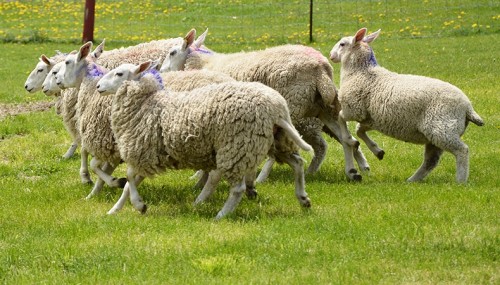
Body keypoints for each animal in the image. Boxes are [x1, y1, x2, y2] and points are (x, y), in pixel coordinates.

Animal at [96, 61, 312, 219]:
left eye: (119, 74)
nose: (98, 86)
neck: (145, 103)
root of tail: (277, 109)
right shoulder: (148, 156)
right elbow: (128, 184)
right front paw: (115, 210)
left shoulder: (143, 151)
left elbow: (129, 177)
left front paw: (139, 205)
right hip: (275, 140)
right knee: (298, 163)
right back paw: (303, 198)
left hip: (237, 145)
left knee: (237, 188)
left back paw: (221, 215)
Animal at [160, 28, 372, 181]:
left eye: (172, 52)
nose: (160, 71)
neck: (202, 63)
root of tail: (320, 68)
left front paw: (198, 174)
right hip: (323, 108)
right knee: (347, 139)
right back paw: (352, 172)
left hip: (291, 105)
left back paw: (262, 177)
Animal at [330, 27, 482, 182]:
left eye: (342, 44)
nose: (331, 55)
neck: (360, 72)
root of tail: (468, 107)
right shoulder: (370, 119)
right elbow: (359, 131)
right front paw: (378, 151)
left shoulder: (354, 109)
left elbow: (341, 119)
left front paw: (349, 140)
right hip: (436, 134)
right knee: (431, 161)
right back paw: (412, 180)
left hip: (442, 128)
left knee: (462, 150)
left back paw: (460, 181)